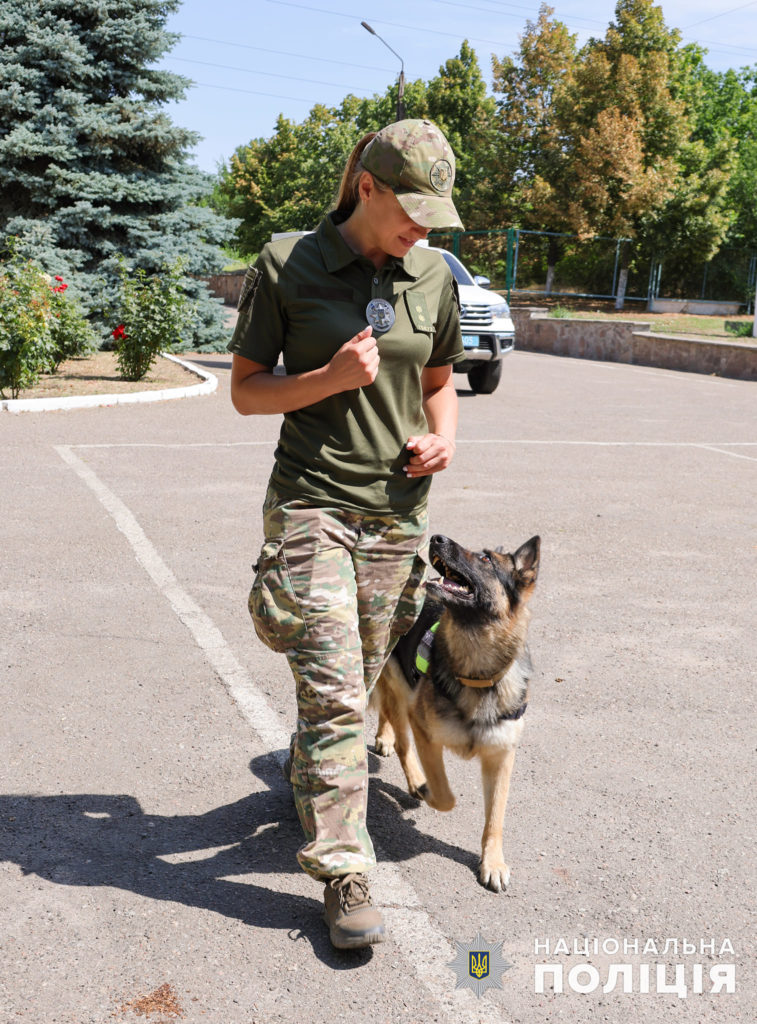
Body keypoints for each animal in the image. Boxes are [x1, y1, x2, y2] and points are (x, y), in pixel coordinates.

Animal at [372, 532, 540, 892]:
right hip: (400, 692)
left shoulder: (501, 757)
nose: (436, 538)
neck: (477, 675)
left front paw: (493, 863)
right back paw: (410, 773)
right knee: (401, 737)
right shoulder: (424, 732)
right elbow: (445, 795)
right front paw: (426, 789)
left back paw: (384, 735)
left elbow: (495, 818)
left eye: (486, 558)